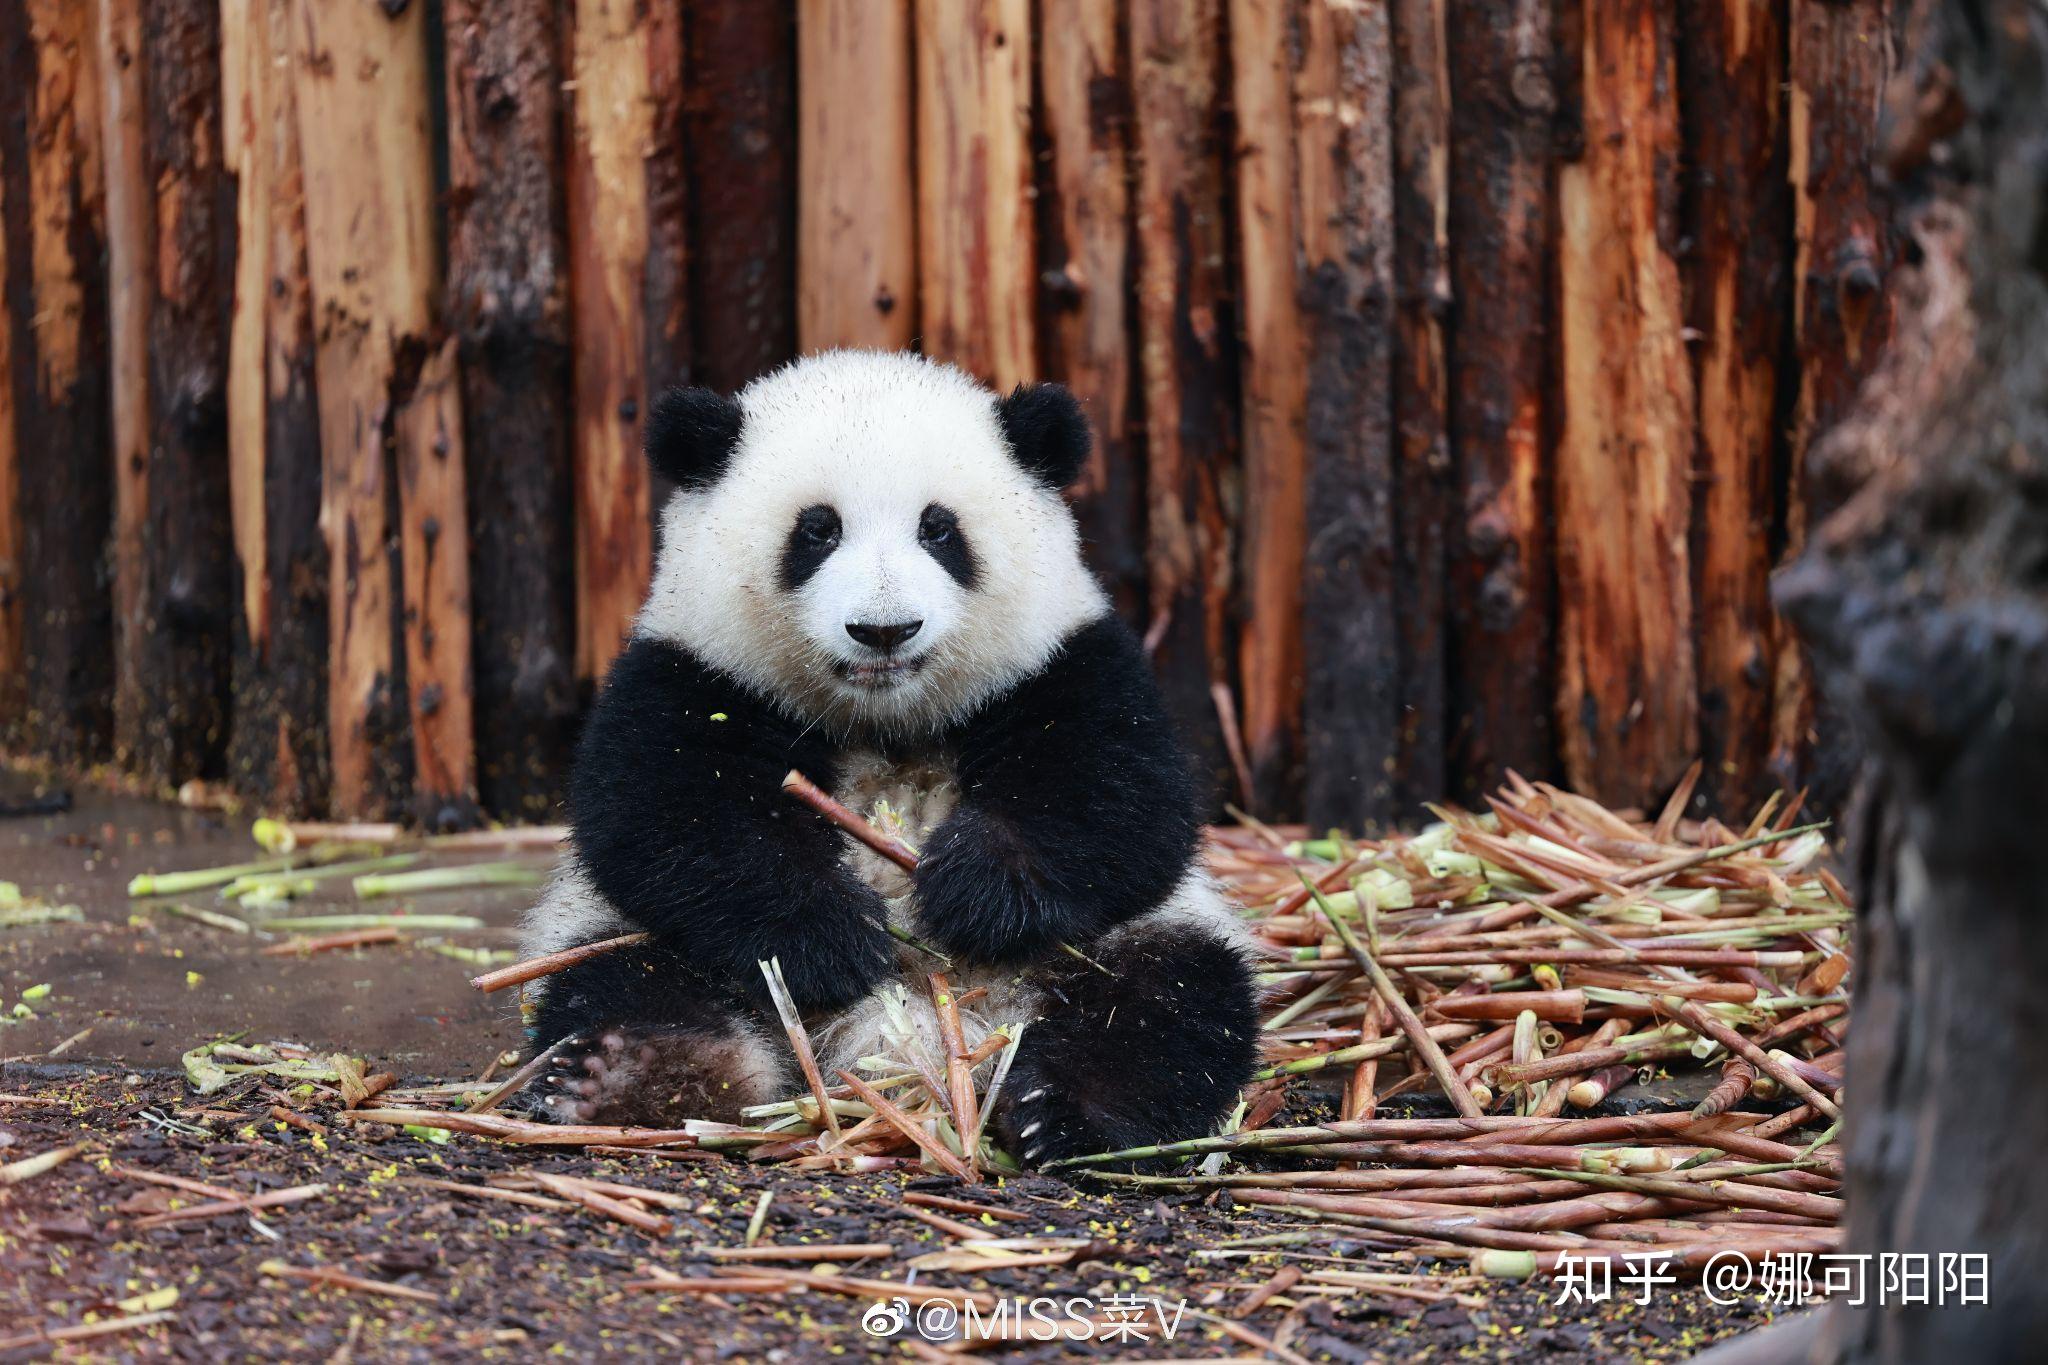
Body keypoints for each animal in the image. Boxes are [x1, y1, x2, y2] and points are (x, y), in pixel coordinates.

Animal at [520, 349, 1253, 1162]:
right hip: (621, 936)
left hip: (1125, 943)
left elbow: (1125, 804)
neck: (887, 720)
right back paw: (634, 1074)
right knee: (626, 979)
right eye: (817, 530)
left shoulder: (1065, 660)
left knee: (1168, 1003)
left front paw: (973, 893)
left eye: (939, 529)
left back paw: (1066, 1111)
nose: (884, 629)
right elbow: (665, 816)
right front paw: (832, 933)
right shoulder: (694, 670)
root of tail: (919, 1041)